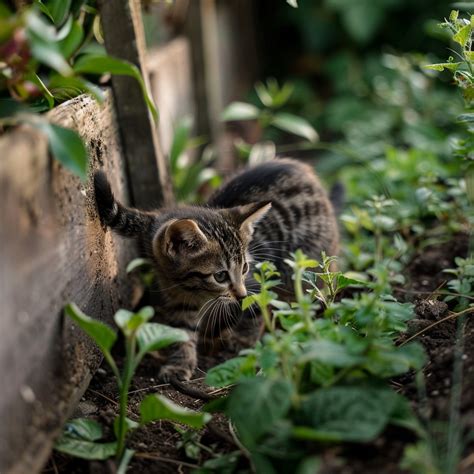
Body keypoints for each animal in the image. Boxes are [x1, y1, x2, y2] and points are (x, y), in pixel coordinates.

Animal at [93, 159, 336, 382]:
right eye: (220, 276)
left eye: (245, 267)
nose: (240, 294)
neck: (192, 289)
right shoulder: (179, 299)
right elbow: (182, 331)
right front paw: (180, 364)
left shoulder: (258, 279)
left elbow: (254, 308)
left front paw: (243, 340)